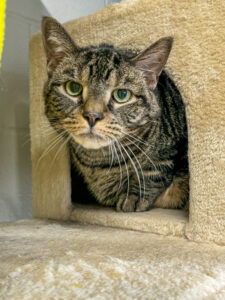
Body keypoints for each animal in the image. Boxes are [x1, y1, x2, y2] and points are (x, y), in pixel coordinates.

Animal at [40, 17, 188, 212]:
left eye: (122, 94)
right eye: (73, 88)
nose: (92, 115)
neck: (98, 164)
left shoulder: (171, 150)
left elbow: (155, 169)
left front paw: (134, 194)